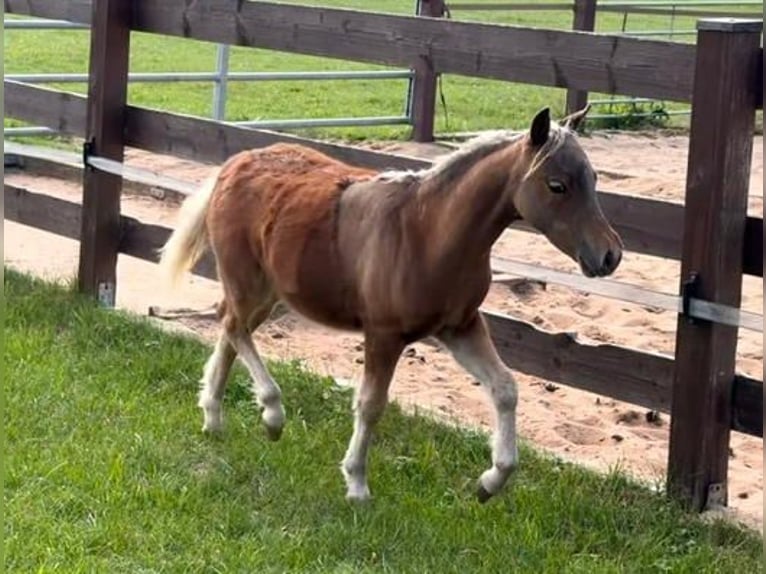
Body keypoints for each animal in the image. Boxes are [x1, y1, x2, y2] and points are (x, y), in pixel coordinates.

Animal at [159, 106, 623, 502]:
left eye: (594, 179)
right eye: (557, 185)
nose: (610, 255)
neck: (428, 232)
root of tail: (234, 164)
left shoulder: (461, 327)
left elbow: (505, 389)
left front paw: (490, 482)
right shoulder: (383, 335)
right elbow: (371, 404)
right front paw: (357, 485)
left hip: (271, 292)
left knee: (230, 329)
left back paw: (214, 419)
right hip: (248, 281)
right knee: (233, 327)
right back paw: (271, 416)